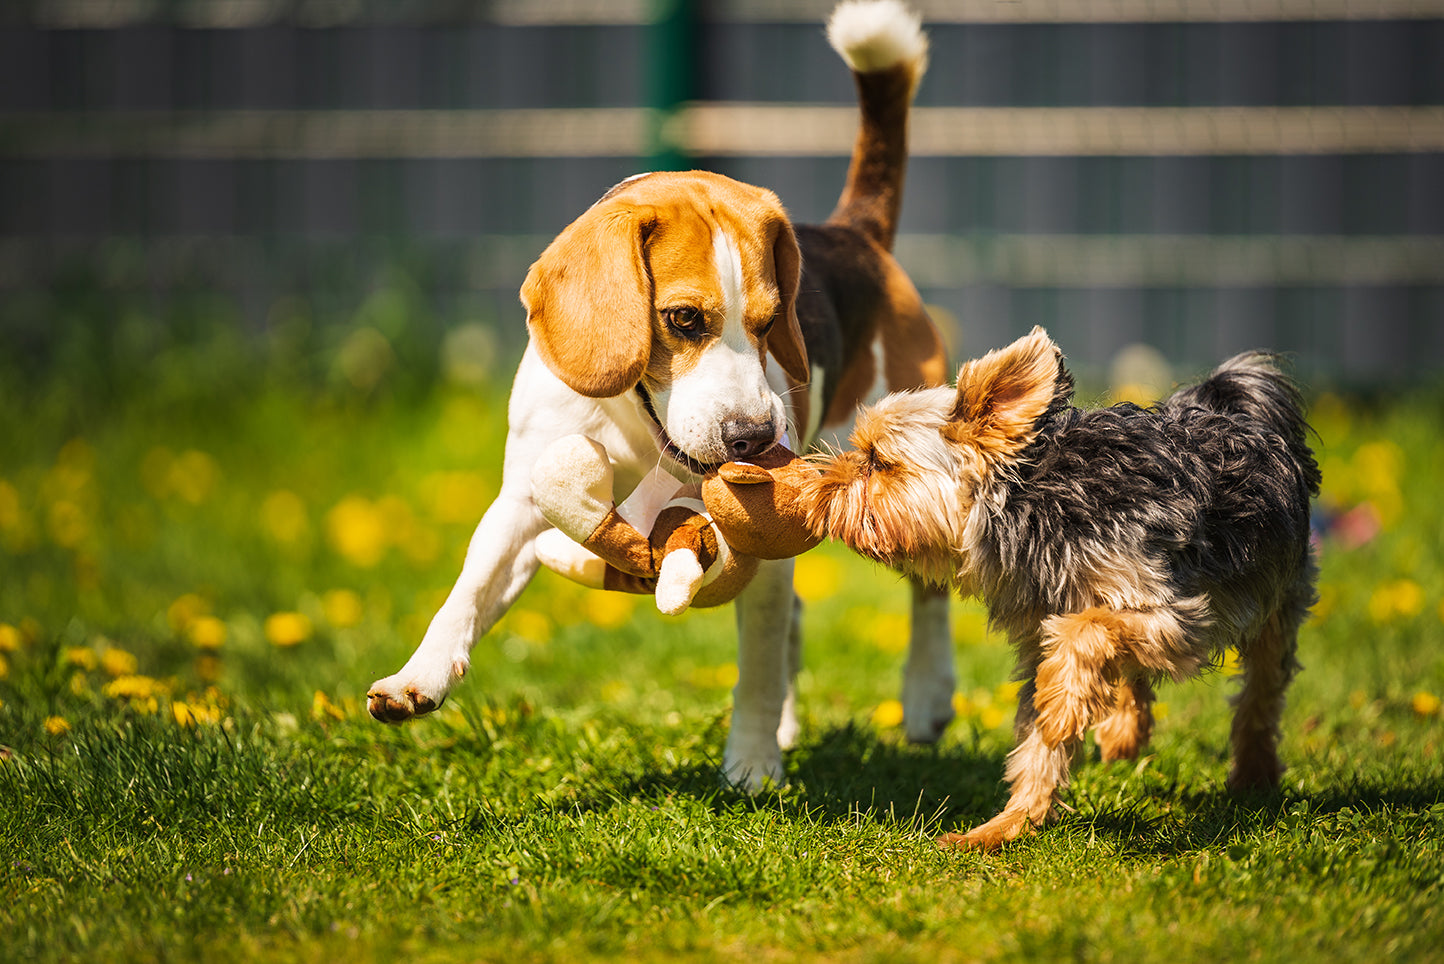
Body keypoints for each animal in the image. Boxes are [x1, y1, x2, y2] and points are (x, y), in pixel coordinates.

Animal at [808, 327, 1322, 848]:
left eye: (878, 461)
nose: (821, 484)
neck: (1031, 506)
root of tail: (1232, 404)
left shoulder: (1177, 613)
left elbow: (1084, 633)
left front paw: (1058, 710)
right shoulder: (1043, 635)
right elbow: (1040, 744)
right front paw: (1007, 826)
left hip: (1276, 596)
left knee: (1260, 693)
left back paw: (1253, 774)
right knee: (1132, 670)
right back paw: (1123, 729)